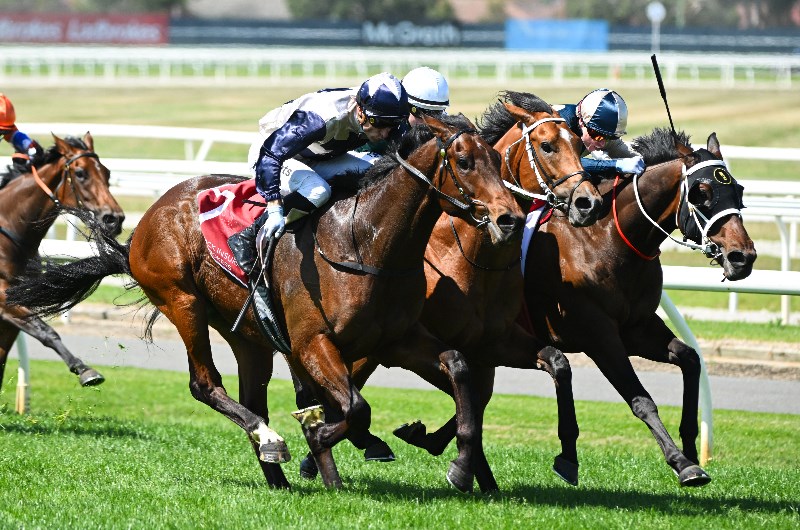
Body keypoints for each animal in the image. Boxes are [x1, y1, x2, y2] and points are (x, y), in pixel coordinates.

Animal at [0, 133, 124, 393]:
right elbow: (46, 331)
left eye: (106, 172)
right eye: (81, 173)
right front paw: (85, 370)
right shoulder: (4, 299)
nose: (114, 219)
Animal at [294, 91, 605, 489]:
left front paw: (562, 457)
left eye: (580, 145)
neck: (473, 257)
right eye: (547, 145)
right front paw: (453, 458)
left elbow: (551, 365)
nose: (589, 203)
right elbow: (467, 394)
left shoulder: (492, 342)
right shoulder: (417, 343)